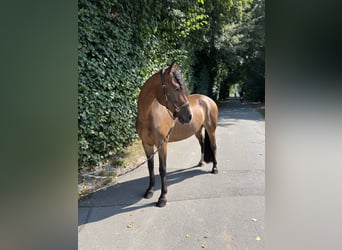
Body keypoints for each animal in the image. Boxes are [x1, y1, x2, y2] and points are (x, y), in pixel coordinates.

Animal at [136, 62, 218, 207]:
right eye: (176, 88)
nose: (188, 116)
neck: (148, 116)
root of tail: (208, 100)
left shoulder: (162, 144)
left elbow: (162, 169)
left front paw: (162, 197)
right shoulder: (146, 144)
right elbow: (150, 167)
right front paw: (150, 191)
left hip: (211, 129)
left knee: (213, 147)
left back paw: (215, 168)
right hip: (197, 131)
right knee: (202, 144)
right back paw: (201, 162)